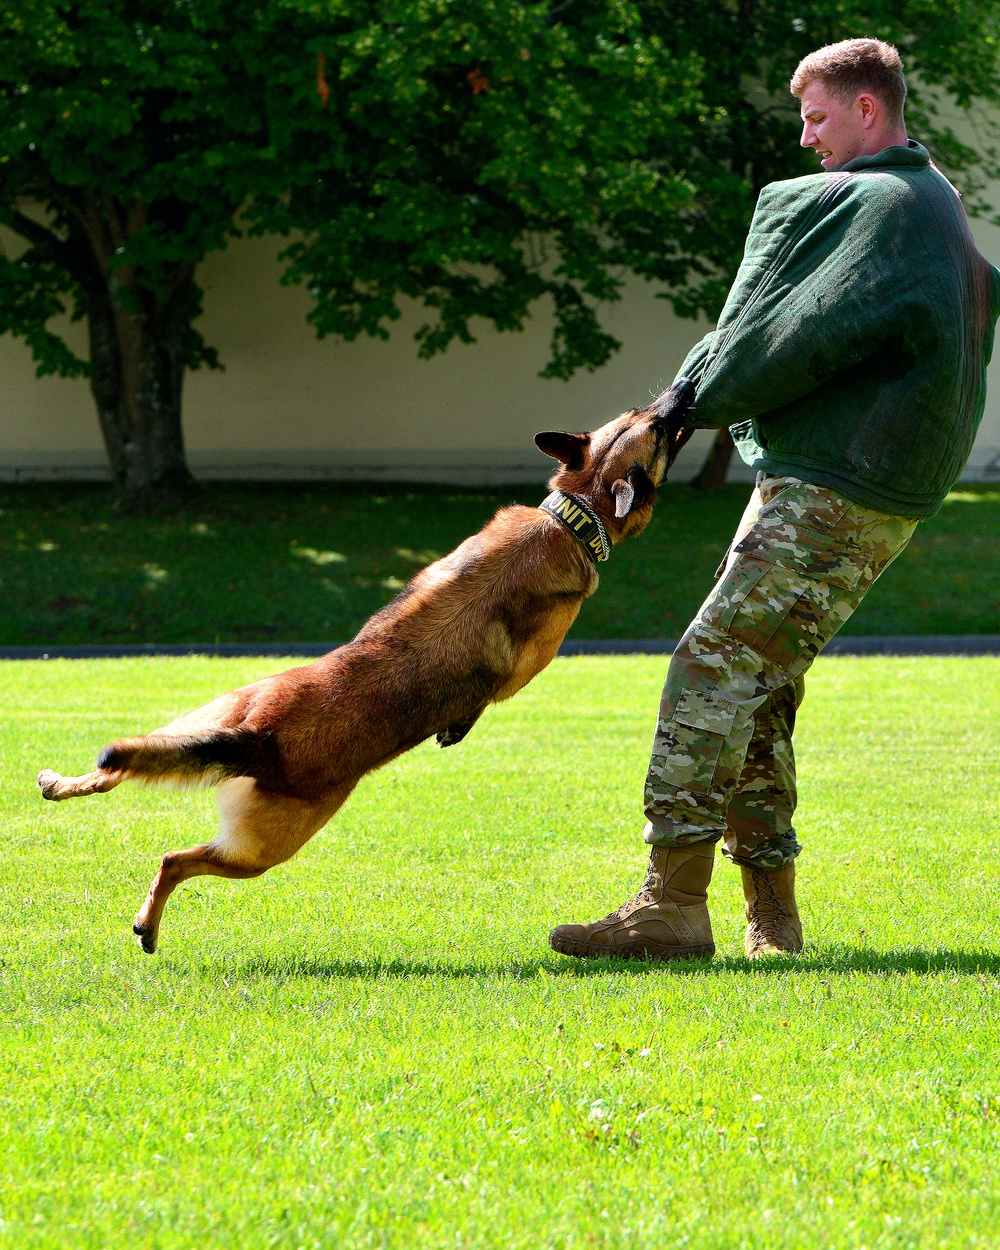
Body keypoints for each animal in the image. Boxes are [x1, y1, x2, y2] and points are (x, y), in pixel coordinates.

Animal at [37, 377, 695, 945]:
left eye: (644, 414)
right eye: (658, 428)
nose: (684, 388)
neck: (571, 515)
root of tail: (255, 735)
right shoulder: (523, 672)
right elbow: (483, 699)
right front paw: (457, 728)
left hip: (204, 720)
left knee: (120, 774)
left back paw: (62, 785)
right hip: (264, 849)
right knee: (175, 858)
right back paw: (147, 925)